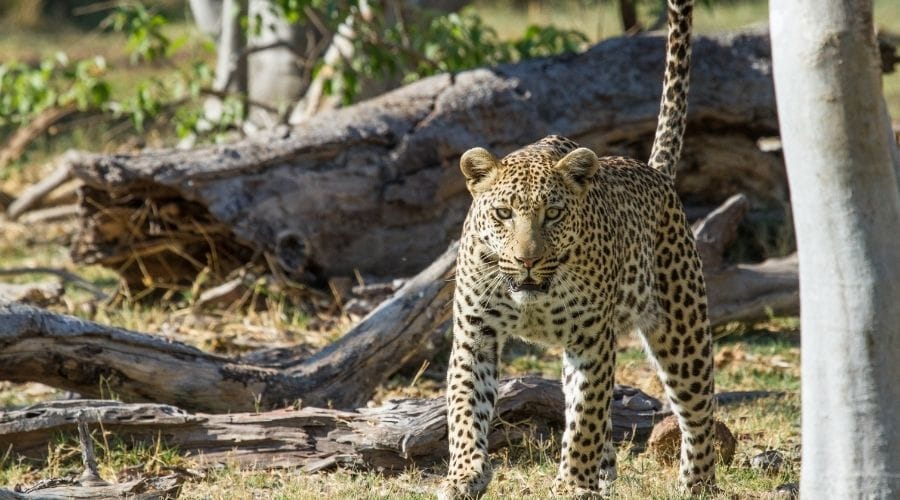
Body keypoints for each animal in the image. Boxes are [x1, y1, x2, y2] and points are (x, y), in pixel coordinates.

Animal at [439, 0, 715, 497]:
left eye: (553, 214)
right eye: (503, 214)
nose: (528, 260)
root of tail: (654, 172)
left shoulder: (591, 339)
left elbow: (586, 415)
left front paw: (570, 483)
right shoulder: (475, 335)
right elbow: (466, 408)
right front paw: (465, 474)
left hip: (680, 327)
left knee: (697, 410)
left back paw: (696, 483)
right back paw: (604, 475)